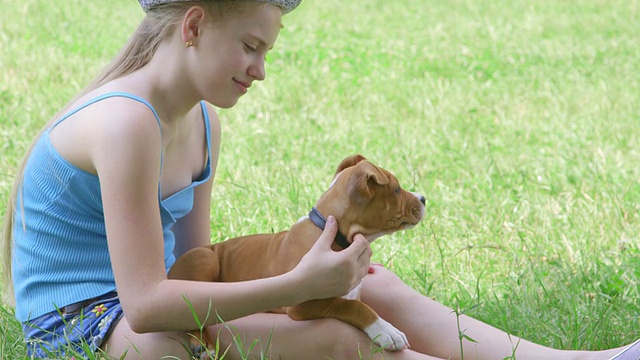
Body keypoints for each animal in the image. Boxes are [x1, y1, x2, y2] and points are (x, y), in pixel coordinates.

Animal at [170, 154, 424, 352]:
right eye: (397, 189)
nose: (424, 198)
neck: (332, 233)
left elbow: (354, 302)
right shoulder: (303, 304)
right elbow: (352, 307)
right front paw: (386, 330)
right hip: (205, 258)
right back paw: (202, 344)